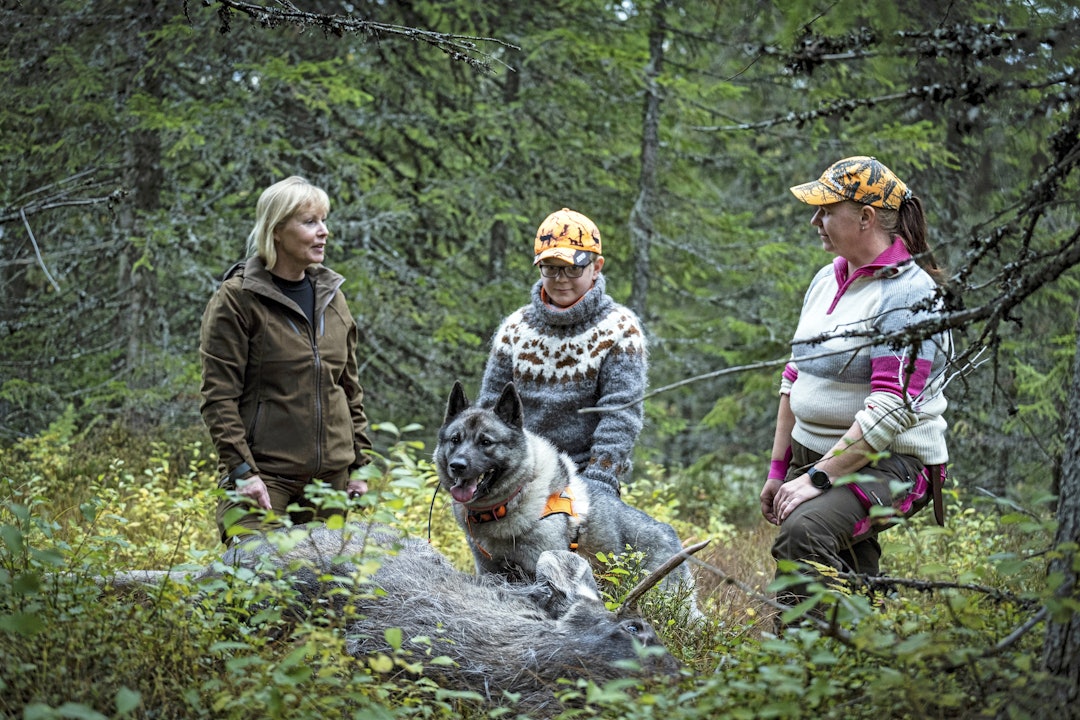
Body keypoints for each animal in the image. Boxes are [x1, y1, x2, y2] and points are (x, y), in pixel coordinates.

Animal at [434, 379, 695, 604]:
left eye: (486, 442)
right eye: (455, 440)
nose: (457, 465)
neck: (509, 502)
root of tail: (671, 534)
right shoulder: (491, 572)